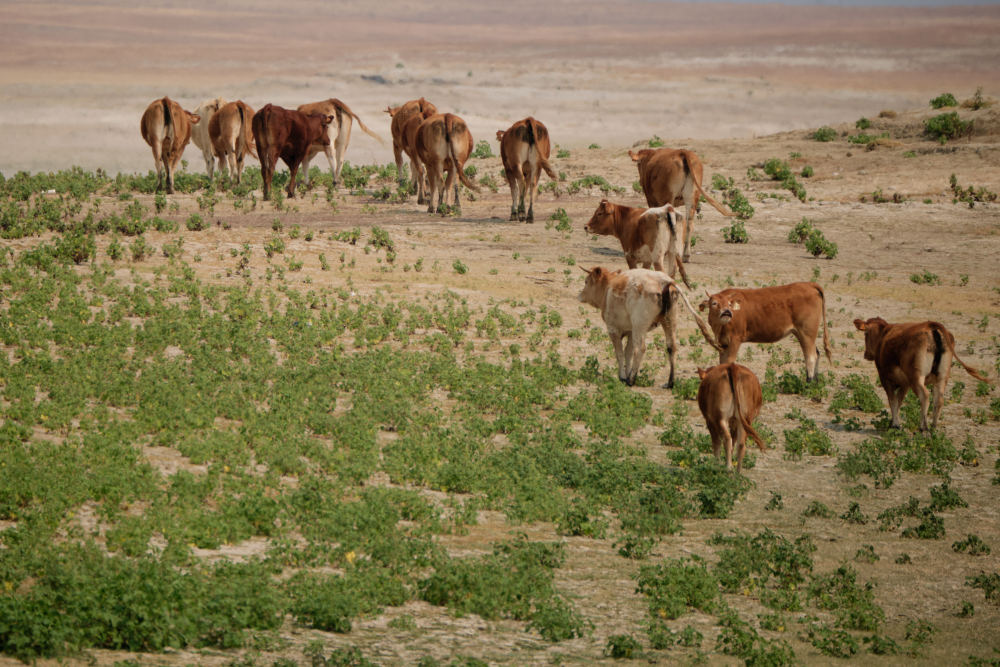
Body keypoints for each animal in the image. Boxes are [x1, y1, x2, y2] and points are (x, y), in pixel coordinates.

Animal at [578, 266, 718, 388]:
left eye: (586, 281)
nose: (579, 296)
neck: (608, 288)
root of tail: (664, 280)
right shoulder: (631, 331)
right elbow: (628, 353)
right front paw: (627, 372)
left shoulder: (613, 329)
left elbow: (620, 353)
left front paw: (623, 376)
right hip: (669, 320)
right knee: (671, 347)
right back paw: (670, 382)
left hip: (640, 325)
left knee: (640, 348)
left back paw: (631, 380)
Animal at [700, 282, 832, 382]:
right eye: (714, 303)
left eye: (729, 304)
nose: (727, 312)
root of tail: (809, 284)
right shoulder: (723, 343)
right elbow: (722, 363)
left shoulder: (735, 340)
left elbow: (729, 362)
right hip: (802, 333)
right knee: (817, 353)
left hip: (806, 332)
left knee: (811, 356)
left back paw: (809, 382)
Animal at [853, 318, 990, 431]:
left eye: (865, 334)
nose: (866, 354)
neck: (884, 335)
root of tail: (931, 326)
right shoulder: (905, 383)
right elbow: (899, 401)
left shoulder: (886, 378)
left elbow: (893, 400)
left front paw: (895, 424)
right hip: (942, 378)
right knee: (939, 399)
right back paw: (934, 428)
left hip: (917, 377)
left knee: (925, 395)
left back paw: (923, 427)